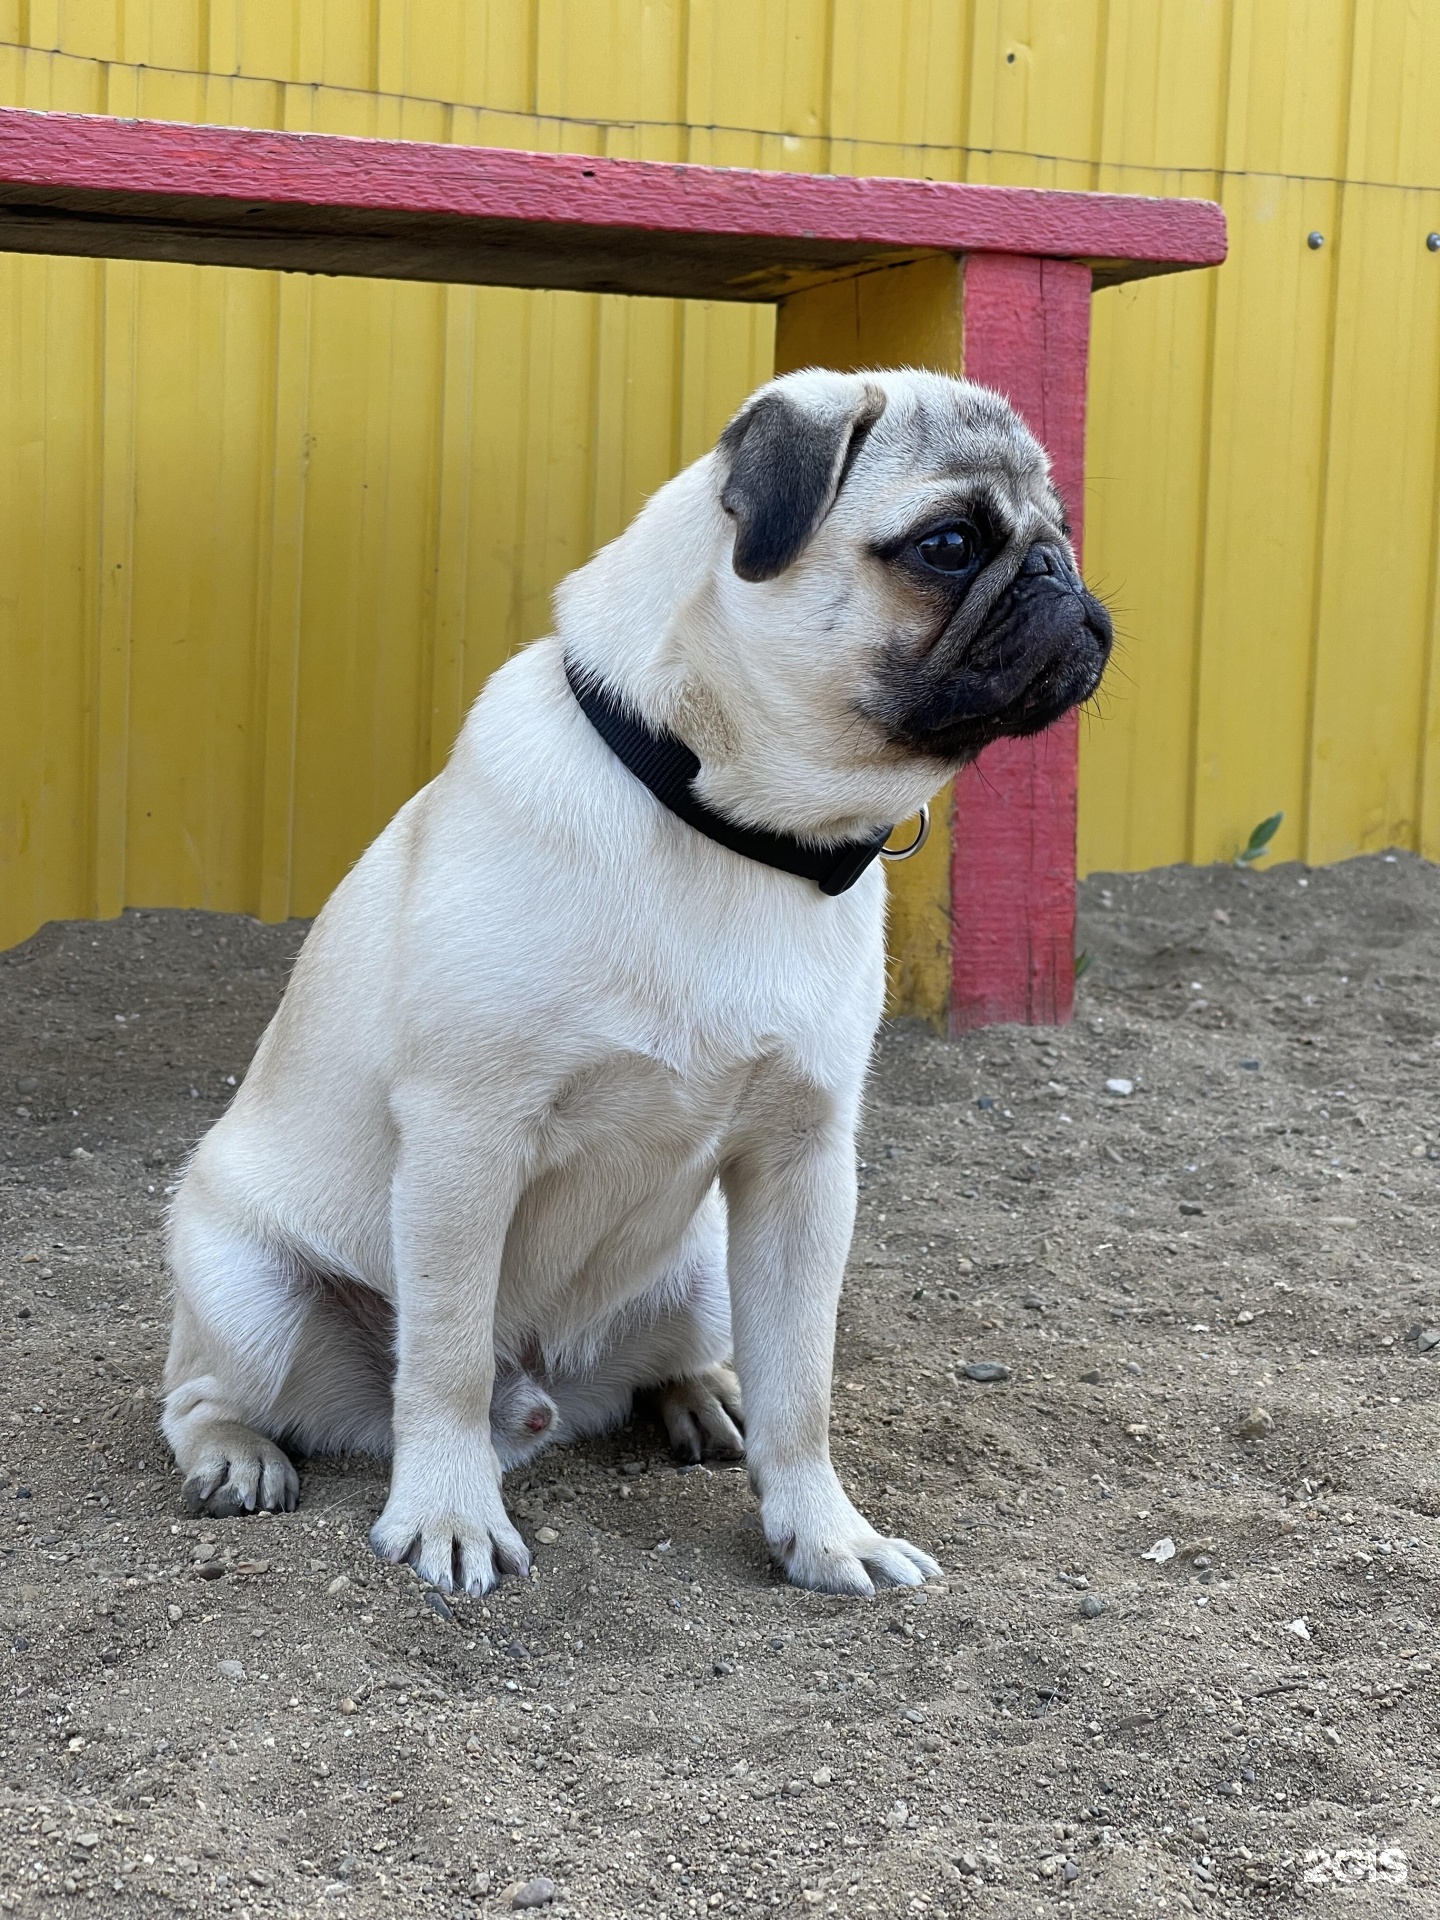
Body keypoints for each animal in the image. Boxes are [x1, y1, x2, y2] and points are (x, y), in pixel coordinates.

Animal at [166, 366, 1113, 1597]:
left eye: (1063, 529)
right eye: (949, 545)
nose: (1058, 574)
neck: (731, 821)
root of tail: (541, 1399)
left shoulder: (805, 1167)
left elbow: (802, 1385)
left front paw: (824, 1533)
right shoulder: (467, 1141)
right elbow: (445, 1357)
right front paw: (447, 1511)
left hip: (704, 1265)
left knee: (705, 1362)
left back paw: (702, 1397)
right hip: (249, 1294)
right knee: (205, 1394)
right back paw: (236, 1454)